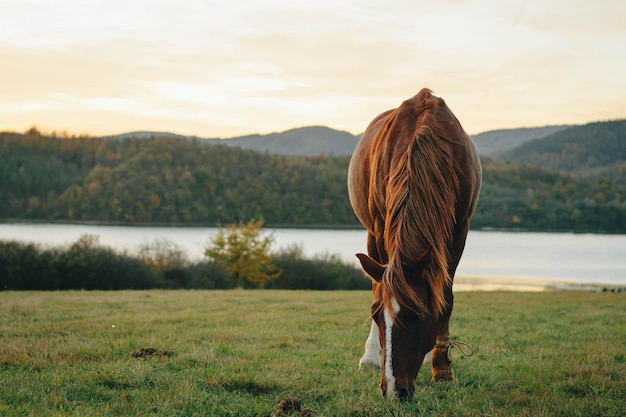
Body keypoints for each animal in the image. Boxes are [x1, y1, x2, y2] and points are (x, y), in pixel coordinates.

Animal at [346, 88, 478, 400]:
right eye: (377, 317)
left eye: (416, 316)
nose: (394, 390)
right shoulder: (382, 228)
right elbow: (380, 288)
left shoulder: (458, 232)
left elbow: (445, 299)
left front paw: (443, 370)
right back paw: (370, 356)